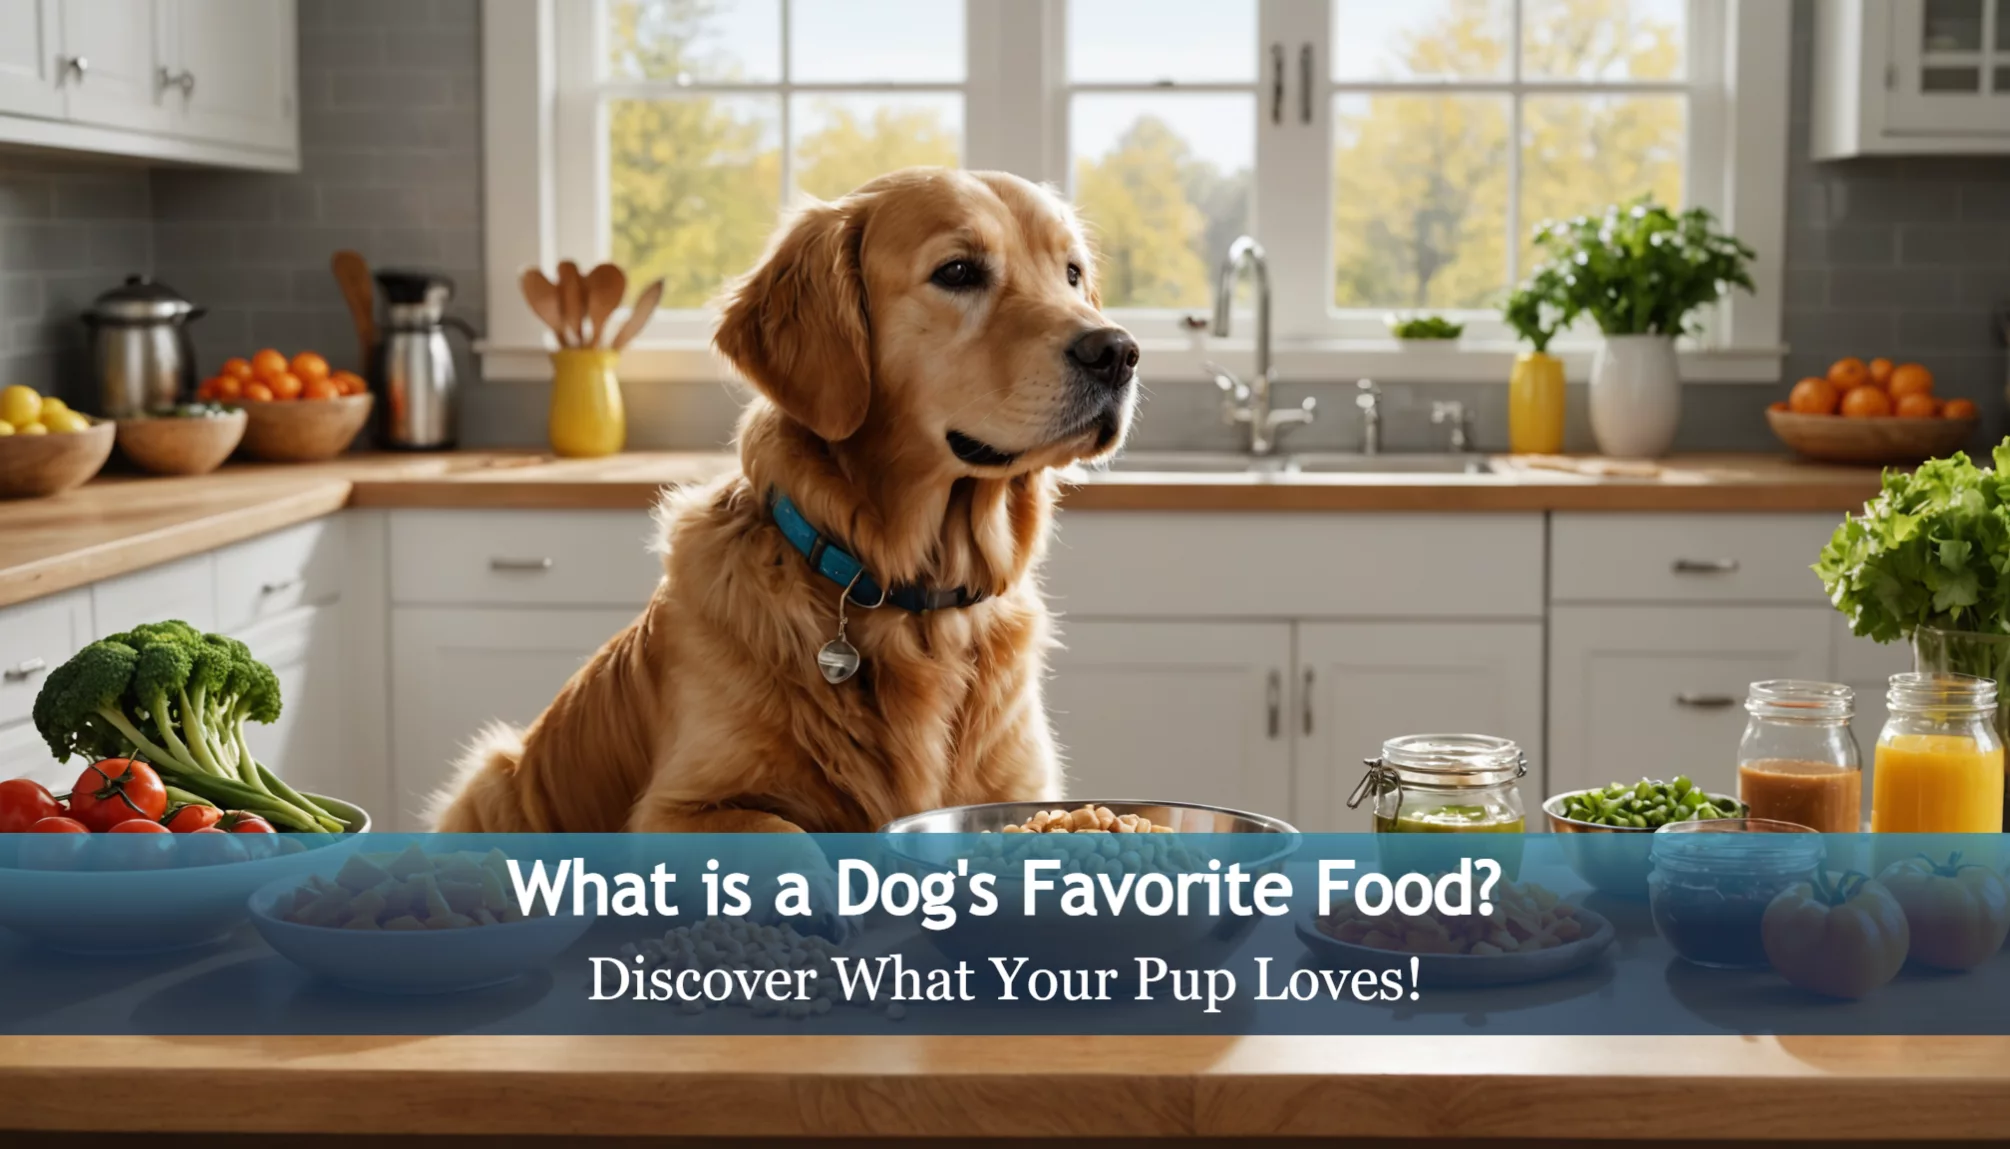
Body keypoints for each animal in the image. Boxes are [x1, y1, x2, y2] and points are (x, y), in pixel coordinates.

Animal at [428, 168, 1133, 835]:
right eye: (957, 271)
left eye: (1072, 274)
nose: (1118, 352)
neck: (912, 602)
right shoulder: (679, 807)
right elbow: (788, 831)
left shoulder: (1023, 786)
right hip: (491, 778)